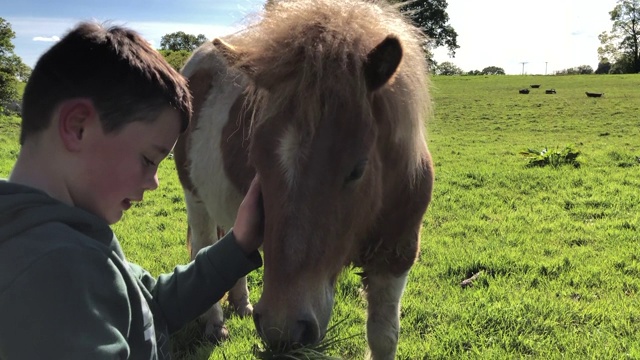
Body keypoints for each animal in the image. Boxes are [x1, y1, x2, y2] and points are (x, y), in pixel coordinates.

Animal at [174, 0, 436, 358]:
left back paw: (241, 305)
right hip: (195, 199)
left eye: (357, 168)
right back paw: (215, 324)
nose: (282, 330)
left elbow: (384, 336)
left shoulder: (397, 255)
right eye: (256, 159)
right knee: (203, 245)